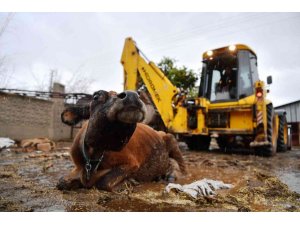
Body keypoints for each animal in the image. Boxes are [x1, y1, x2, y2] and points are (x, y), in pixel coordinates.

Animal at [56, 90, 185, 192]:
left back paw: (172, 175)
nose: (132, 95)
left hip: (171, 139)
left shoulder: (132, 163)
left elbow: (104, 182)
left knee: (182, 166)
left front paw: (129, 182)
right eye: (96, 96)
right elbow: (61, 182)